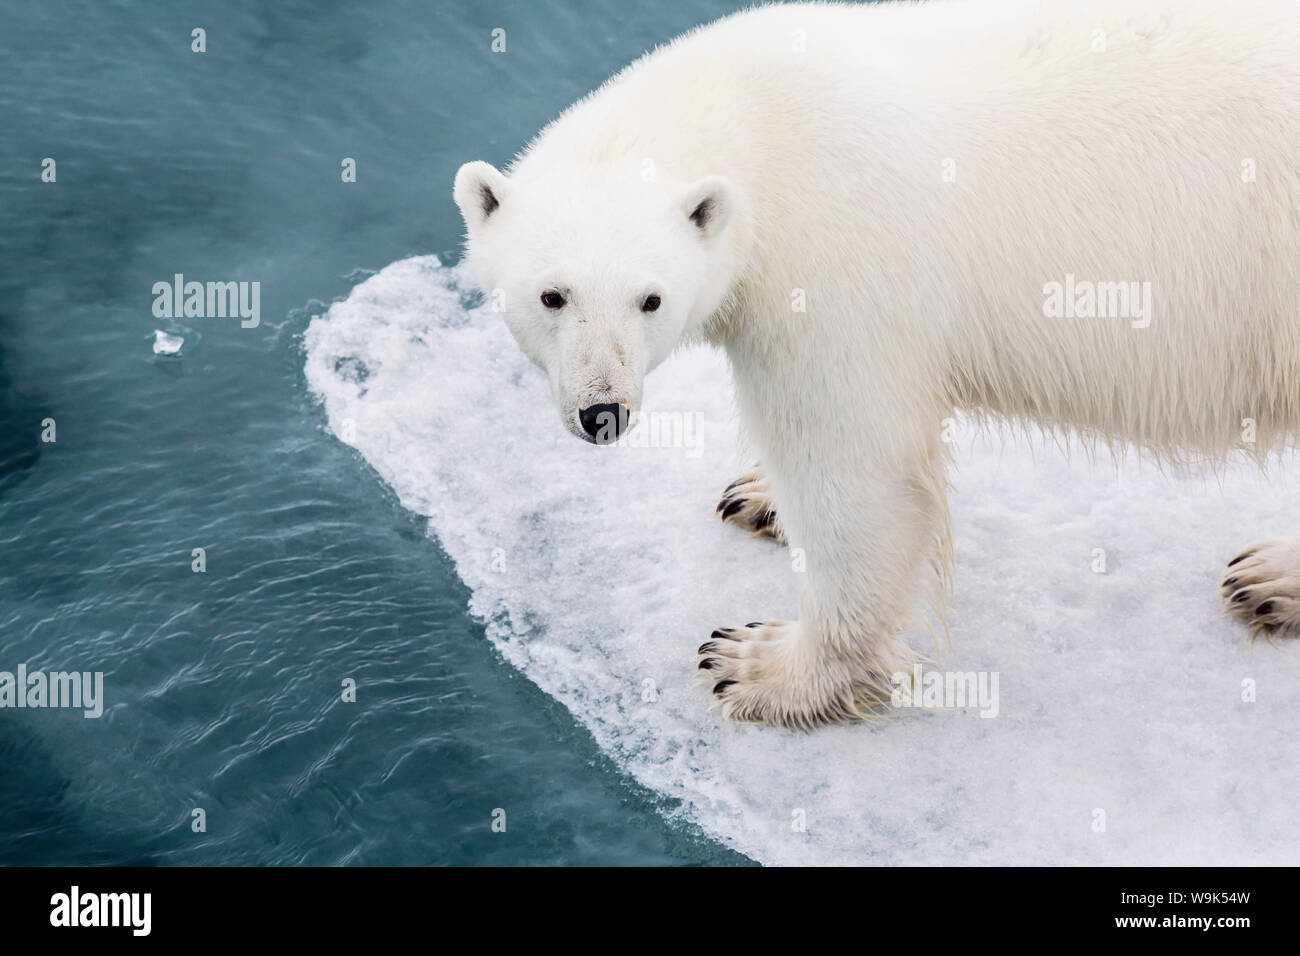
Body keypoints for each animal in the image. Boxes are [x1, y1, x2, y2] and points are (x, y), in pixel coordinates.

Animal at [452, 0, 1300, 728]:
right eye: (552, 295)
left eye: (651, 299)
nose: (604, 412)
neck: (761, 119)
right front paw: (757, 495)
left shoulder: (834, 267)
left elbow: (856, 472)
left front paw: (761, 667)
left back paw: (1271, 578)